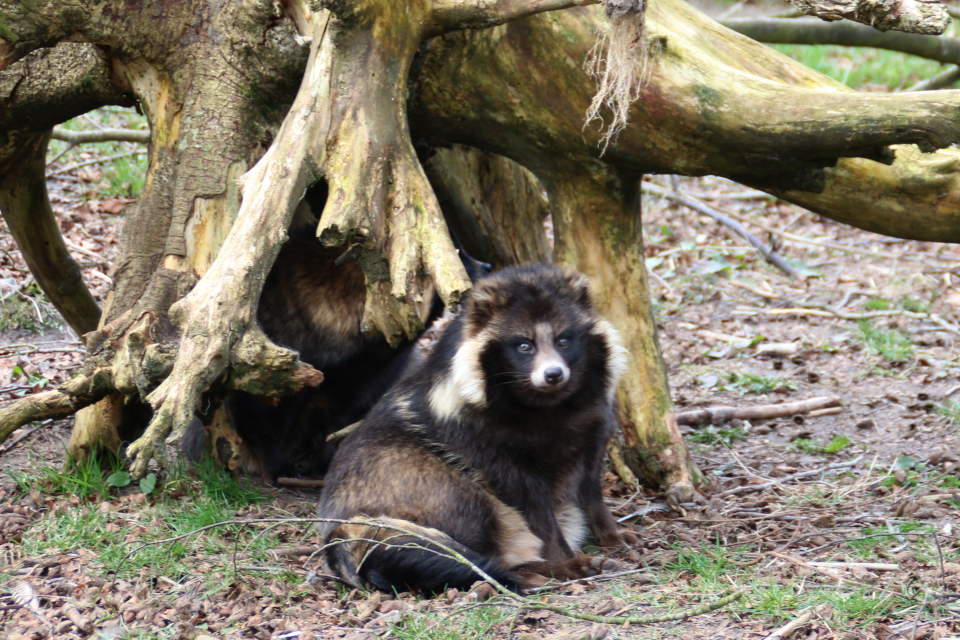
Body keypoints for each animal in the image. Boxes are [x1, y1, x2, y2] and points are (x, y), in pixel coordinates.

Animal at [318, 262, 636, 592]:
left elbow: (590, 483)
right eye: (524, 345)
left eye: (564, 340)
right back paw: (534, 569)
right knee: (469, 516)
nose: (553, 374)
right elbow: (534, 507)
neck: (548, 403)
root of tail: (339, 532)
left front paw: (609, 530)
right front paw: (562, 555)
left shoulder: (595, 420)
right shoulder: (481, 441)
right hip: (411, 482)